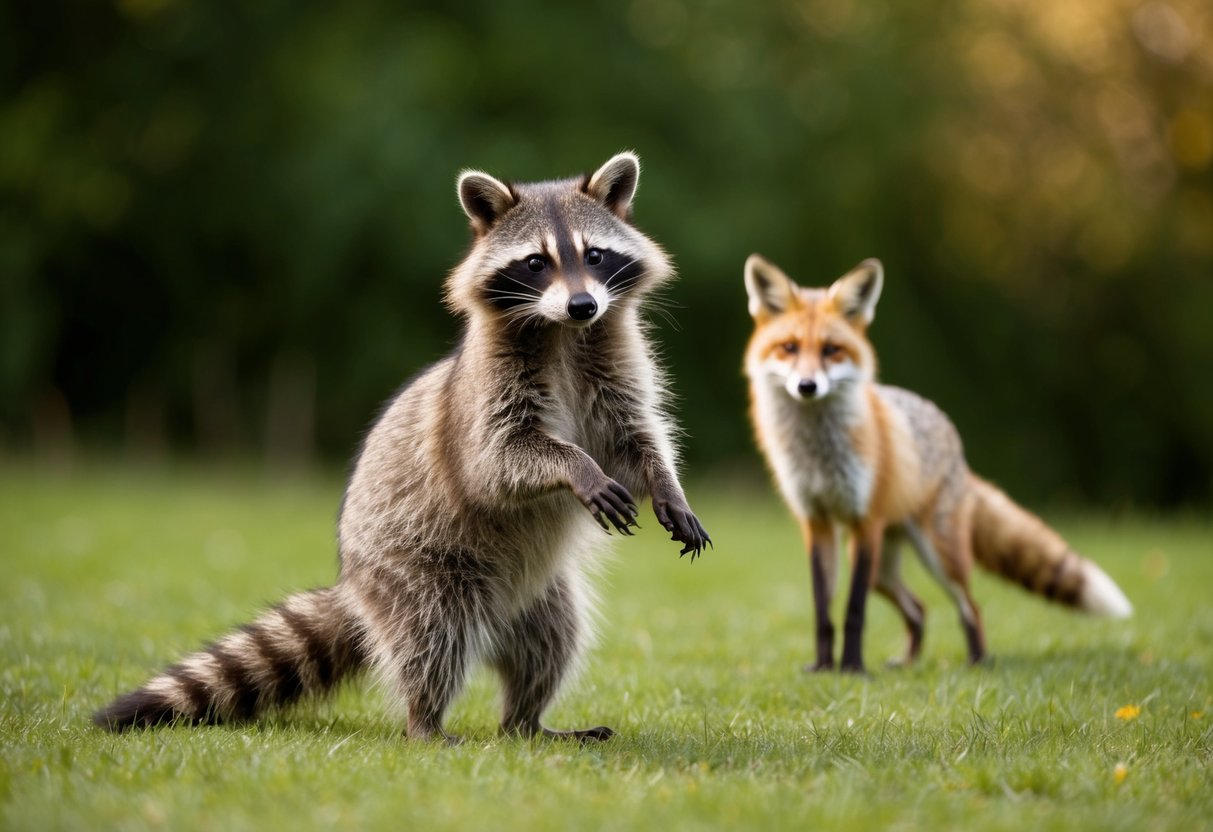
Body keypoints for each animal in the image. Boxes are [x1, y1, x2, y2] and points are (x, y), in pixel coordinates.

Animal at [94, 152, 710, 742]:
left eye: (595, 255)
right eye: (536, 263)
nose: (583, 305)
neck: (561, 331)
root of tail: (355, 587)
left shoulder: (614, 366)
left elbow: (635, 440)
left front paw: (667, 485)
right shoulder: (486, 394)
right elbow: (500, 460)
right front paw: (576, 466)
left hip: (539, 594)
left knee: (552, 640)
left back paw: (528, 721)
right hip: (418, 567)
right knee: (432, 636)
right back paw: (426, 722)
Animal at [743, 254, 1131, 673]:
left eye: (832, 350)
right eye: (789, 347)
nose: (807, 386)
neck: (816, 453)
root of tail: (954, 441)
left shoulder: (866, 520)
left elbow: (854, 611)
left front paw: (853, 669)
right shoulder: (816, 522)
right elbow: (823, 611)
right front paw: (822, 668)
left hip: (937, 555)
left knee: (970, 607)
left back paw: (977, 662)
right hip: (882, 567)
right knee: (919, 609)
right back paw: (908, 662)